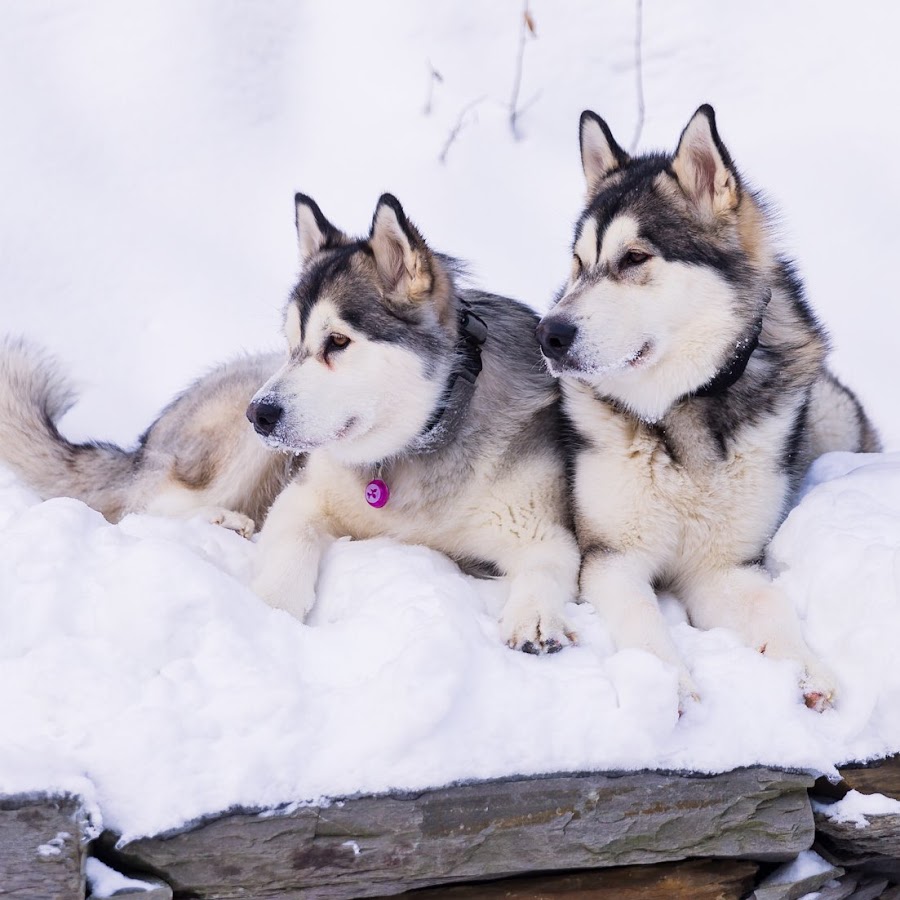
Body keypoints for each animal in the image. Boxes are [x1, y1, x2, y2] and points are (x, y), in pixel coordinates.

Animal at [244, 192, 576, 652]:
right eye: (292, 344)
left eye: (338, 341)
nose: (258, 414)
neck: (423, 438)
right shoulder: (304, 497)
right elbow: (292, 541)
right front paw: (272, 606)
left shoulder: (543, 530)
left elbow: (545, 566)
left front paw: (534, 618)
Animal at [536, 105, 880, 708]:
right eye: (578, 265)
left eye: (634, 258)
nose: (548, 334)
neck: (680, 410)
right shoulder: (611, 556)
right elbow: (641, 614)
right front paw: (667, 683)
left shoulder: (723, 565)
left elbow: (770, 604)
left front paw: (805, 669)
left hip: (831, 414)